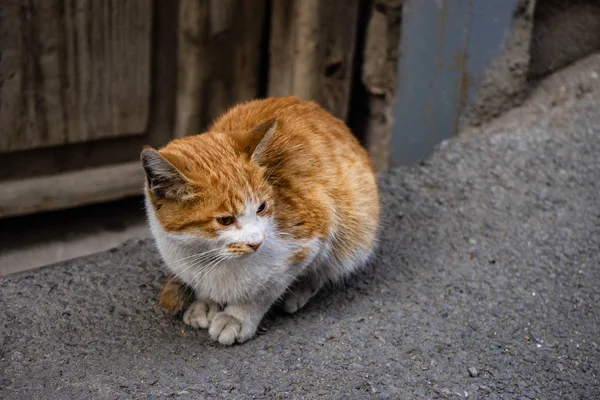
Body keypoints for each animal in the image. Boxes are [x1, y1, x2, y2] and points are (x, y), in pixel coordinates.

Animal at [139, 96, 380, 344]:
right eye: (225, 220)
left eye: (262, 208)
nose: (256, 242)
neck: (207, 257)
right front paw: (206, 301)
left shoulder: (310, 235)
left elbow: (264, 290)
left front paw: (237, 317)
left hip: (357, 223)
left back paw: (300, 290)